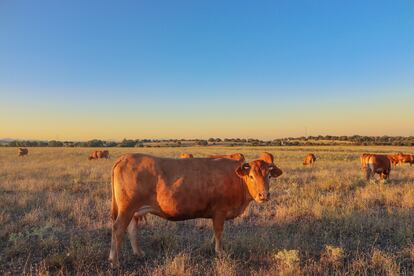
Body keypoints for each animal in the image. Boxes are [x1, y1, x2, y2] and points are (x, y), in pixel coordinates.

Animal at [108, 152, 284, 266]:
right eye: (252, 176)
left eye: (268, 176)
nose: (264, 195)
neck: (236, 178)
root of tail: (124, 157)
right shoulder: (219, 212)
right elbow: (219, 231)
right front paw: (219, 251)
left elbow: (215, 233)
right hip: (127, 208)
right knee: (118, 229)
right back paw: (114, 261)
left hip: (134, 210)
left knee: (131, 228)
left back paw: (138, 253)